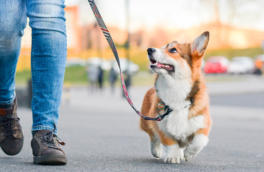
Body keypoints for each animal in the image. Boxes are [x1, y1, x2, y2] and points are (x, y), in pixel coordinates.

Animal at [140, 31, 212, 164]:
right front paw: (173, 156)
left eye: (173, 50)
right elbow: (170, 143)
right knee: (153, 137)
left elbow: (198, 141)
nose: (149, 49)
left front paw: (188, 154)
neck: (175, 88)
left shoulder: (203, 124)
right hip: (146, 121)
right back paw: (156, 151)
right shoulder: (161, 125)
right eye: (162, 48)